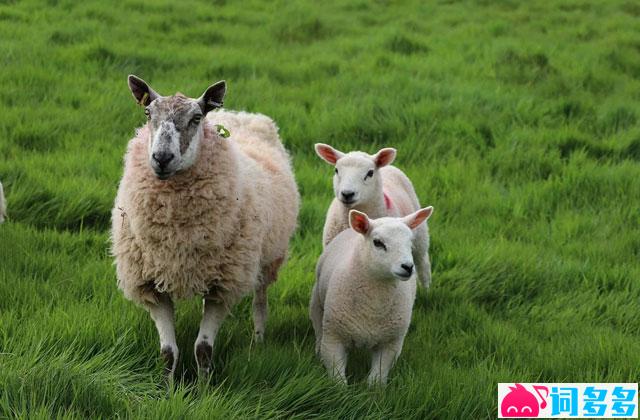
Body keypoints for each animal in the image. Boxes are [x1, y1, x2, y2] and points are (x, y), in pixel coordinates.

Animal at [110, 74, 300, 378]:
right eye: (148, 113)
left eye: (196, 118)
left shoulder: (223, 286)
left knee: (260, 302)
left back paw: (258, 341)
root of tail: (239, 114)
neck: (176, 236)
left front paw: (203, 386)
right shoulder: (151, 284)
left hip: (268, 258)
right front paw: (167, 386)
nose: (161, 158)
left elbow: (203, 349)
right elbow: (168, 352)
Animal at [312, 205, 436, 386]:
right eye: (378, 243)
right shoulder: (334, 337)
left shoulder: (391, 343)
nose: (407, 267)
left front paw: (373, 391)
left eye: (410, 243)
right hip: (317, 304)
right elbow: (337, 378)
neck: (374, 306)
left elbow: (377, 378)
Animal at [316, 144, 436, 288]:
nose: (347, 194)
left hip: (420, 238)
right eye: (336, 170)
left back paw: (426, 289)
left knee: (423, 264)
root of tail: (389, 167)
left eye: (370, 173)